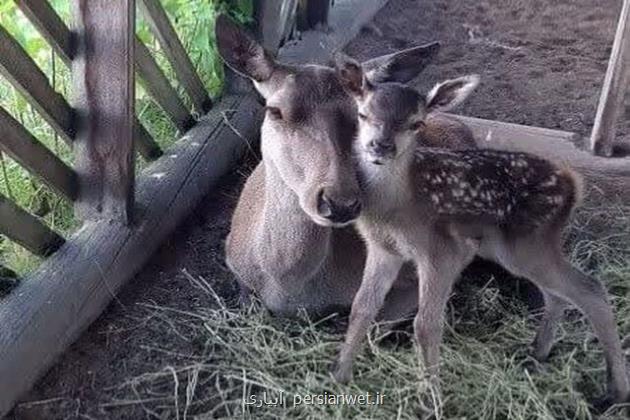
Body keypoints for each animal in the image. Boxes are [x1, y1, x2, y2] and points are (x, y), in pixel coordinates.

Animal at [334, 57, 628, 406]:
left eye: (416, 123)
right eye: (363, 114)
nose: (380, 146)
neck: (397, 207)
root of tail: (574, 184)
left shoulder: (443, 250)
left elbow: (426, 324)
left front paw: (431, 398)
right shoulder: (384, 249)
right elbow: (361, 308)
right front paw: (339, 377)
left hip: (529, 243)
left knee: (590, 289)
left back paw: (615, 390)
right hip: (513, 248)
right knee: (557, 293)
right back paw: (538, 352)